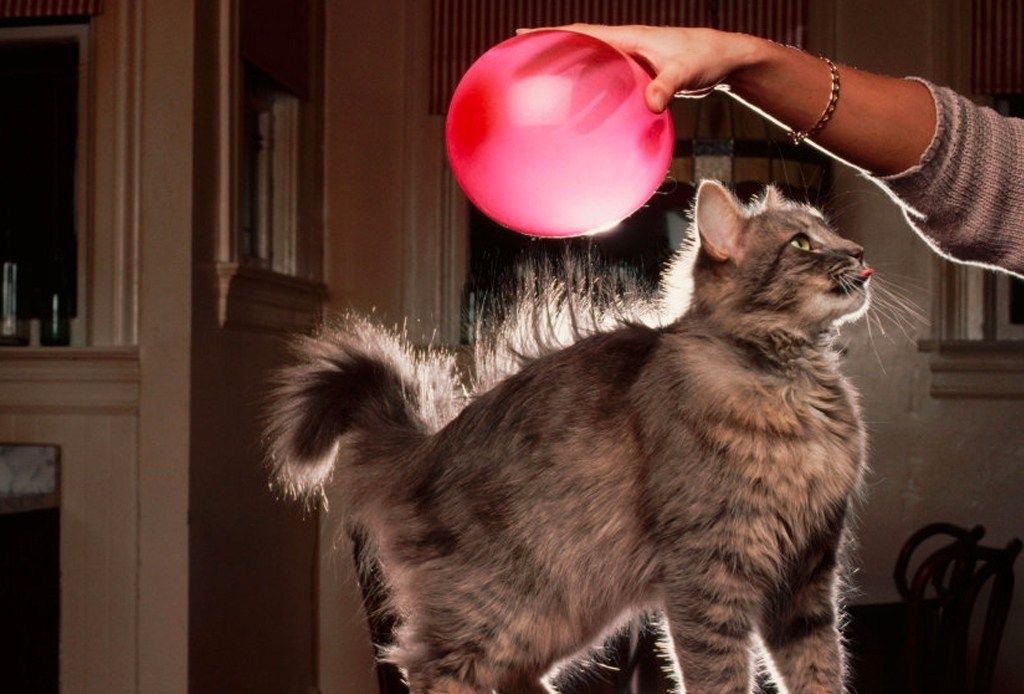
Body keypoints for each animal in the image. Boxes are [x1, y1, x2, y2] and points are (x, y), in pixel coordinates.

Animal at [265, 181, 872, 693]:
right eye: (803, 243)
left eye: (833, 235)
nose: (862, 254)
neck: (793, 385)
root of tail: (425, 448)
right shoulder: (709, 573)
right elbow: (719, 678)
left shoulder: (807, 575)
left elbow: (820, 672)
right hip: (497, 609)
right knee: (432, 667)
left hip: (564, 610)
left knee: (512, 676)